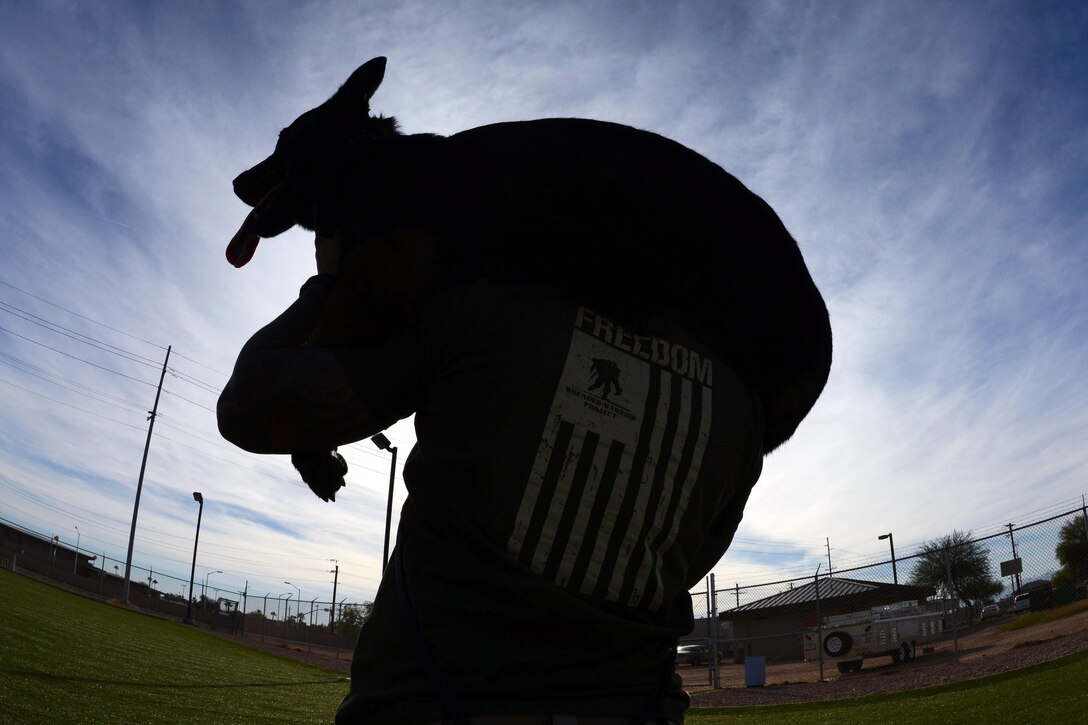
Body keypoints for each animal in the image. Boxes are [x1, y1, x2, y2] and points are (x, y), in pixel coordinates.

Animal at [225, 57, 826, 492]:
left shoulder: (383, 268)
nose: (235, 182)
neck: (365, 165)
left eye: (282, 142)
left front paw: (312, 455)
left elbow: (314, 343)